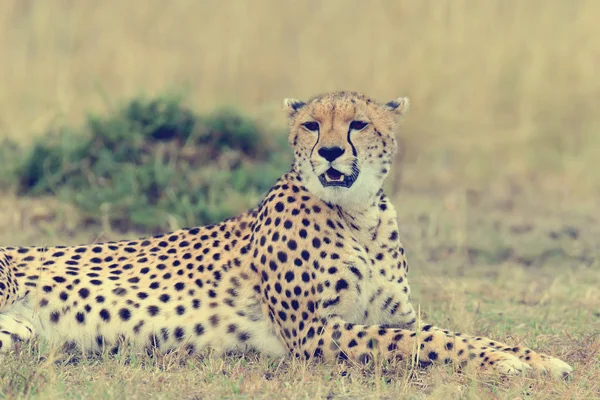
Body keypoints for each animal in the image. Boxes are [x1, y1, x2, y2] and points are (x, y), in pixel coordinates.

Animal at [0, 93, 572, 378]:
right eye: (312, 126)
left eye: (358, 124)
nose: (331, 152)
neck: (359, 215)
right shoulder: (314, 333)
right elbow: (423, 340)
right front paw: (510, 362)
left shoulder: (388, 315)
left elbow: (451, 333)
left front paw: (534, 358)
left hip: (21, 334)